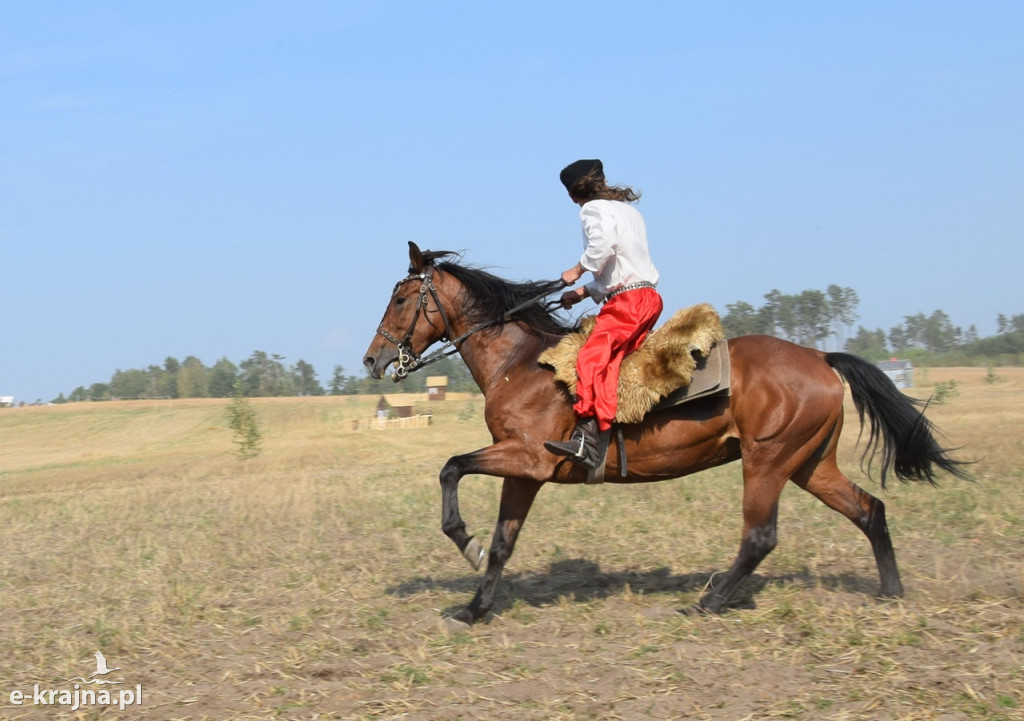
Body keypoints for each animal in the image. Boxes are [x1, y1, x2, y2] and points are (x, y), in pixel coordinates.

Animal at [362, 241, 966, 626]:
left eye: (400, 299)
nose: (373, 359)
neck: (522, 363)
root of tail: (819, 356)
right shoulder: (526, 474)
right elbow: (504, 543)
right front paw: (474, 609)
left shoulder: (526, 458)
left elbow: (451, 469)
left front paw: (465, 543)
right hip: (810, 465)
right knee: (869, 510)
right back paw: (890, 593)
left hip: (768, 463)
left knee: (760, 537)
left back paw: (708, 602)